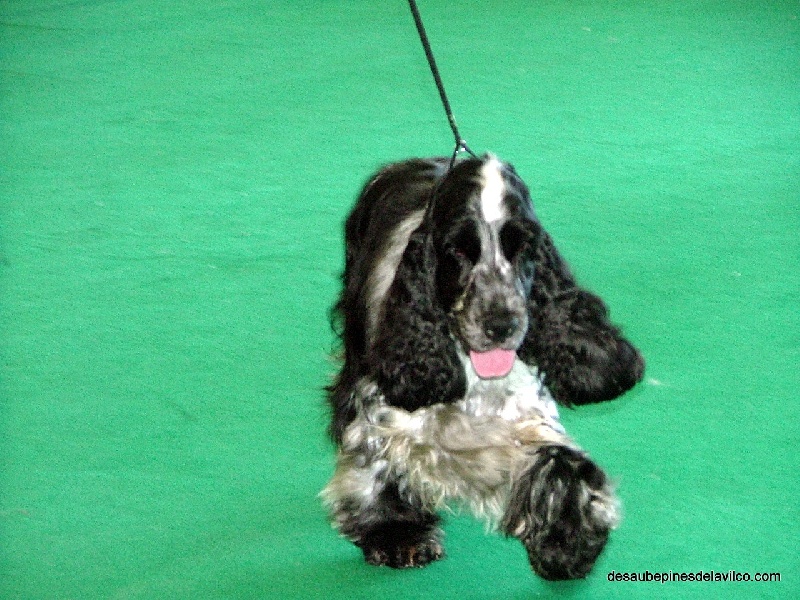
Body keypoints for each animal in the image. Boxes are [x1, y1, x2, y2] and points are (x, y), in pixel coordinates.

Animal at [321, 155, 644, 580]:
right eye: (458, 251)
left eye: (522, 247)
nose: (500, 324)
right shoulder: (382, 402)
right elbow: (376, 461)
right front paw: (396, 533)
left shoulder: (526, 415)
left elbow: (561, 461)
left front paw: (567, 543)